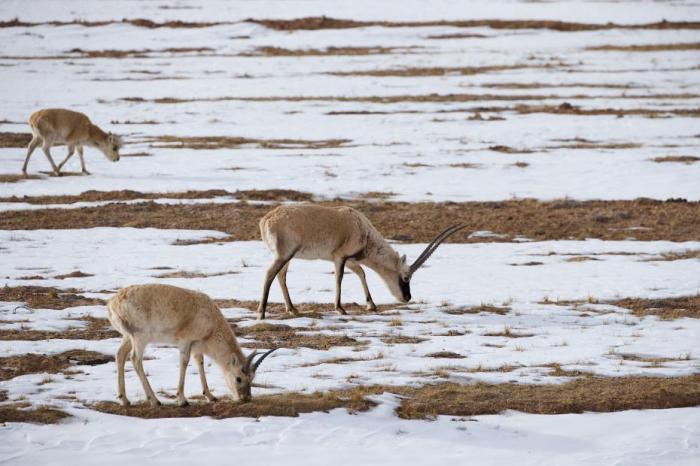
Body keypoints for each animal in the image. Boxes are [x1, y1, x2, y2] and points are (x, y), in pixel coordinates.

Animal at [106, 282, 276, 406]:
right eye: (238, 378)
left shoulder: (197, 346)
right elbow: (184, 362)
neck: (211, 320)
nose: (245, 399)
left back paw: (124, 399)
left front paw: (210, 396)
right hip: (140, 337)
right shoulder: (185, 342)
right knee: (135, 359)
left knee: (120, 355)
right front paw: (182, 400)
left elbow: (200, 362)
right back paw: (154, 400)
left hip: (128, 337)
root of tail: (112, 304)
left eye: (252, 378)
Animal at [256, 205, 464, 318]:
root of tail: (265, 220)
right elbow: (339, 278)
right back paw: (261, 312)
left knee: (281, 276)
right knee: (269, 274)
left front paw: (371, 304)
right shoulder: (339, 257)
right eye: (406, 277)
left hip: (287, 257)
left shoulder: (348, 259)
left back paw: (292, 309)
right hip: (284, 255)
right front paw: (340, 309)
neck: (363, 229)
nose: (407, 298)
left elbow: (361, 273)